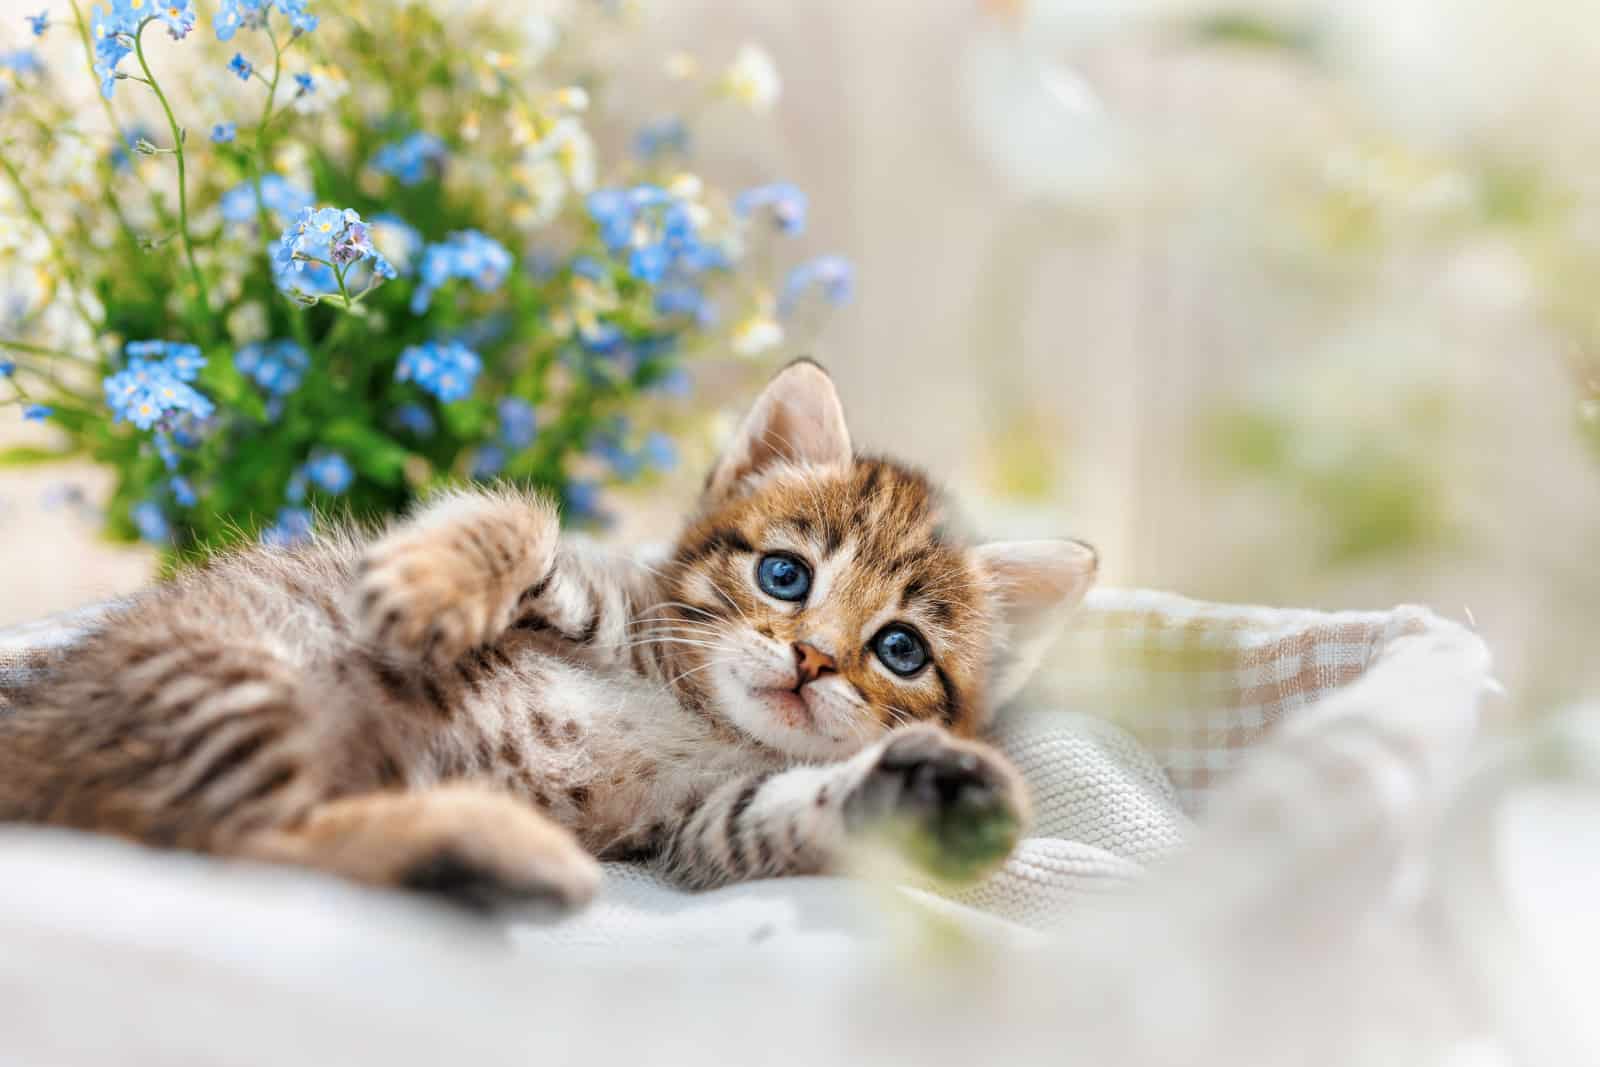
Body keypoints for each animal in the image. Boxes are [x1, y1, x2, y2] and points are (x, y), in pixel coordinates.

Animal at [0, 361, 1094, 908]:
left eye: (900, 648)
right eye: (785, 574)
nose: (812, 656)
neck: (704, 715)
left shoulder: (694, 828)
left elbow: (784, 812)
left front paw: (932, 793)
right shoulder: (591, 592)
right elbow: (516, 515)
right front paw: (422, 585)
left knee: (240, 844)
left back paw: (491, 849)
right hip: (234, 666)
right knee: (223, 841)